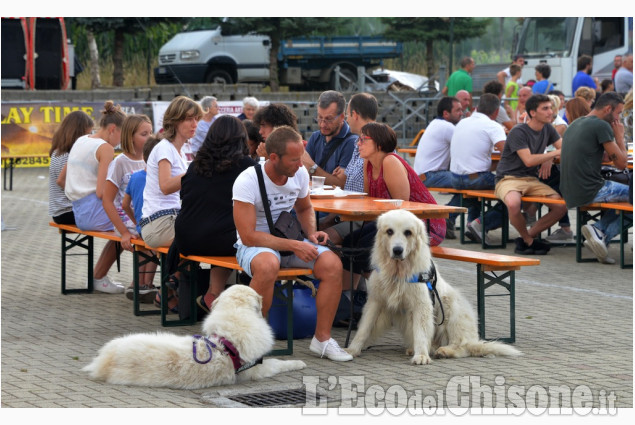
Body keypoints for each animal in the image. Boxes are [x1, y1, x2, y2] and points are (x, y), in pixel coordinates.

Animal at [348, 209, 520, 364]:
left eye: (408, 232)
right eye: (389, 231)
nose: (397, 250)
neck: (399, 271)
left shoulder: (422, 304)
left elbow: (421, 333)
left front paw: (421, 356)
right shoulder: (376, 302)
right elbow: (364, 328)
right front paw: (352, 349)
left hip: (451, 306)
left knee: (464, 346)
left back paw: (444, 351)